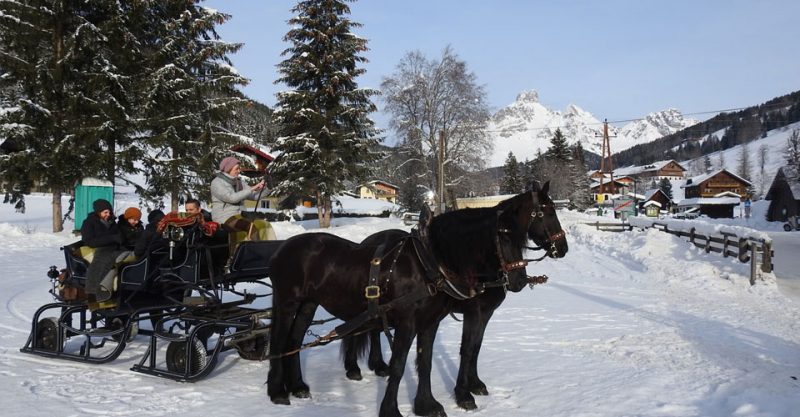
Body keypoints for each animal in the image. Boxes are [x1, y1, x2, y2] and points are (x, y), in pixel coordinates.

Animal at [268, 189, 536, 416]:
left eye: (523, 239)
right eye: (503, 237)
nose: (519, 280)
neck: (428, 263)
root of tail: (282, 249)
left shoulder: (430, 323)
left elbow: (425, 362)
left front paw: (426, 405)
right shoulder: (408, 323)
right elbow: (398, 366)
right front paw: (390, 410)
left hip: (308, 305)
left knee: (294, 341)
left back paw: (298, 386)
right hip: (287, 302)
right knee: (279, 342)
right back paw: (278, 392)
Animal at [340, 183, 564, 410]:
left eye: (520, 240)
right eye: (548, 212)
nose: (563, 248)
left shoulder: (486, 313)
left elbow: (476, 347)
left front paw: (475, 384)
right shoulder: (473, 312)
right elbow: (467, 349)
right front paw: (463, 394)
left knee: (373, 331)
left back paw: (377, 365)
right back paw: (353, 368)